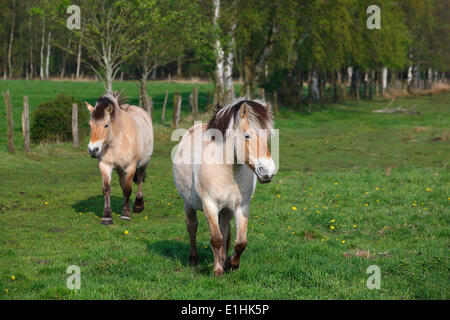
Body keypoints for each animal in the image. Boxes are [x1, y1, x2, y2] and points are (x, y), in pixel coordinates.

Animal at [85, 91, 154, 224]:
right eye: (90, 125)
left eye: (106, 125)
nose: (93, 150)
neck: (117, 141)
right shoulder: (105, 166)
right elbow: (107, 189)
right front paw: (107, 216)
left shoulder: (131, 167)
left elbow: (128, 189)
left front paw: (126, 215)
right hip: (119, 169)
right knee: (123, 183)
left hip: (144, 163)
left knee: (140, 180)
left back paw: (138, 205)